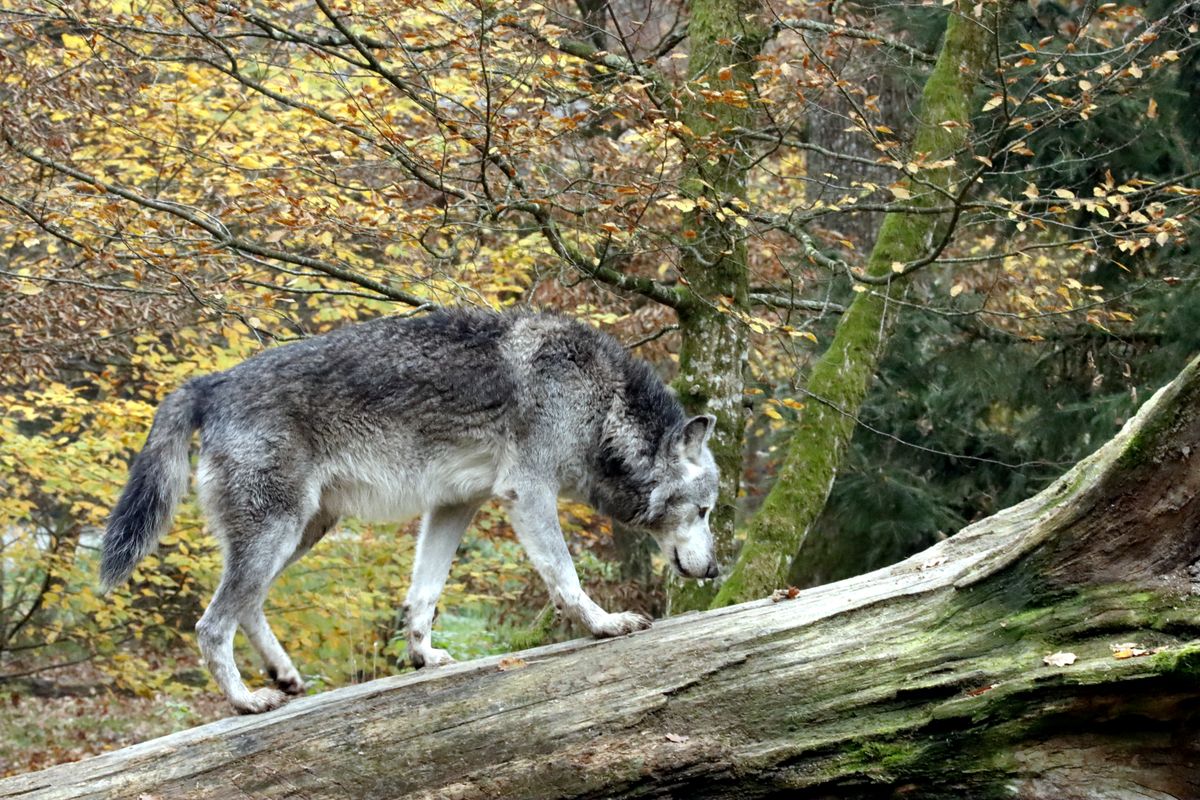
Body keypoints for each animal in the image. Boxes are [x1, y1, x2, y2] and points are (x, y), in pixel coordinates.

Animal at [101, 309, 720, 713]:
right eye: (708, 511)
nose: (715, 570)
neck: (603, 403)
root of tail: (213, 381)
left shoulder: (453, 505)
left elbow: (423, 595)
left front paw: (423, 656)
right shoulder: (527, 493)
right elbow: (565, 578)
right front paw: (604, 625)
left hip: (302, 532)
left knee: (246, 606)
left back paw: (284, 676)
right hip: (278, 533)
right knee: (212, 624)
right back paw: (247, 701)